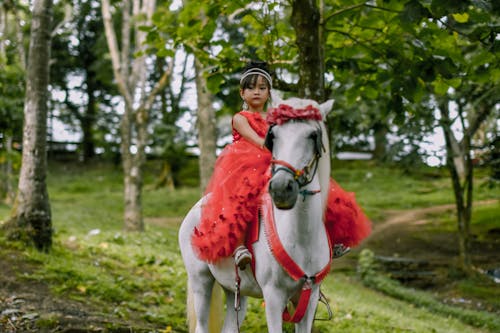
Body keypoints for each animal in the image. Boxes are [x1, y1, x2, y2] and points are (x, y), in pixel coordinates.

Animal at [178, 94, 334, 330]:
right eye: (273, 135)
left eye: (313, 135)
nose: (281, 188)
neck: (301, 240)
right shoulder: (273, 297)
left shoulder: (309, 300)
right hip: (201, 280)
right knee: (201, 326)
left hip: (235, 290)